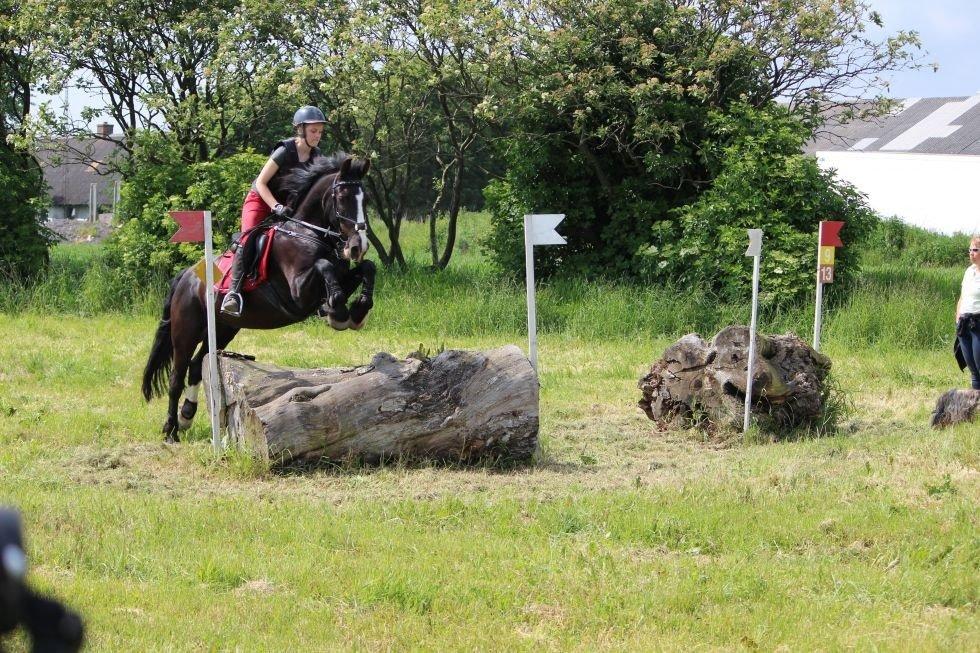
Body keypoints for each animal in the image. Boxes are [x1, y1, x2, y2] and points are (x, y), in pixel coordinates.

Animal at [142, 152, 376, 444]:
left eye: (365, 199)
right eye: (342, 197)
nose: (358, 246)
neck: (307, 234)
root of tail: (186, 276)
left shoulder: (342, 275)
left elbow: (366, 268)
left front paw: (356, 310)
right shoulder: (299, 292)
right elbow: (325, 267)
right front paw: (339, 312)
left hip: (223, 328)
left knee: (196, 366)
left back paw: (187, 415)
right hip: (186, 330)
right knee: (177, 376)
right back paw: (171, 430)